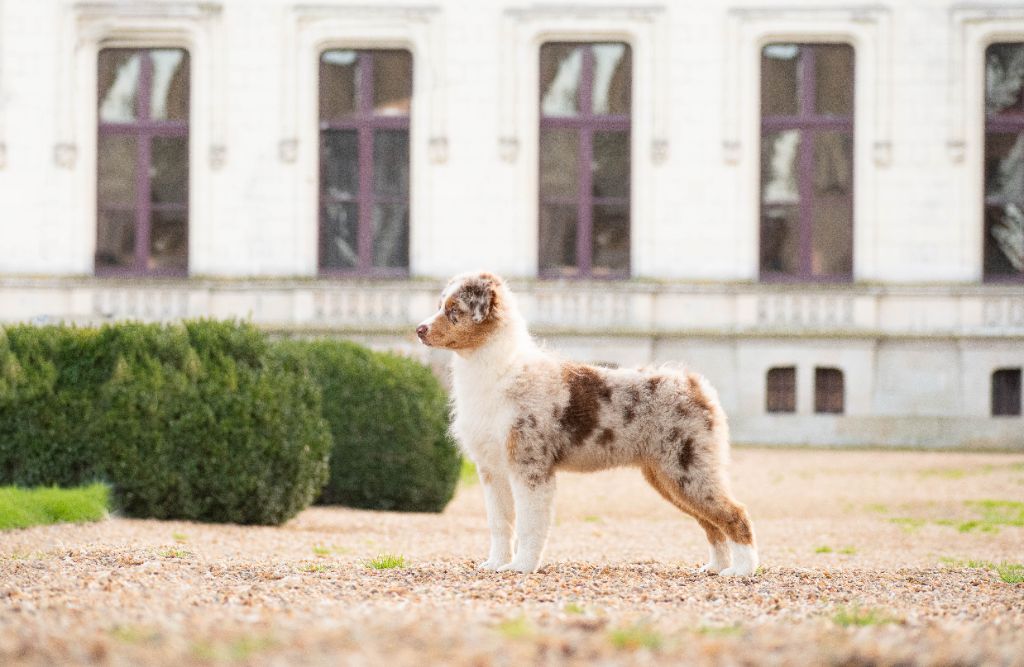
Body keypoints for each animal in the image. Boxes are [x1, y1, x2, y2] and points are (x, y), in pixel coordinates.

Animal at [417, 270, 761, 573]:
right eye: (441, 306)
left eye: (454, 310)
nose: (419, 329)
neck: (498, 370)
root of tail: (696, 385)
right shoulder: (491, 468)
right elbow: (500, 523)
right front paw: (495, 564)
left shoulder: (530, 465)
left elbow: (530, 523)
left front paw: (521, 567)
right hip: (667, 477)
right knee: (711, 524)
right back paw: (715, 567)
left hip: (687, 470)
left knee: (735, 514)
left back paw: (741, 570)